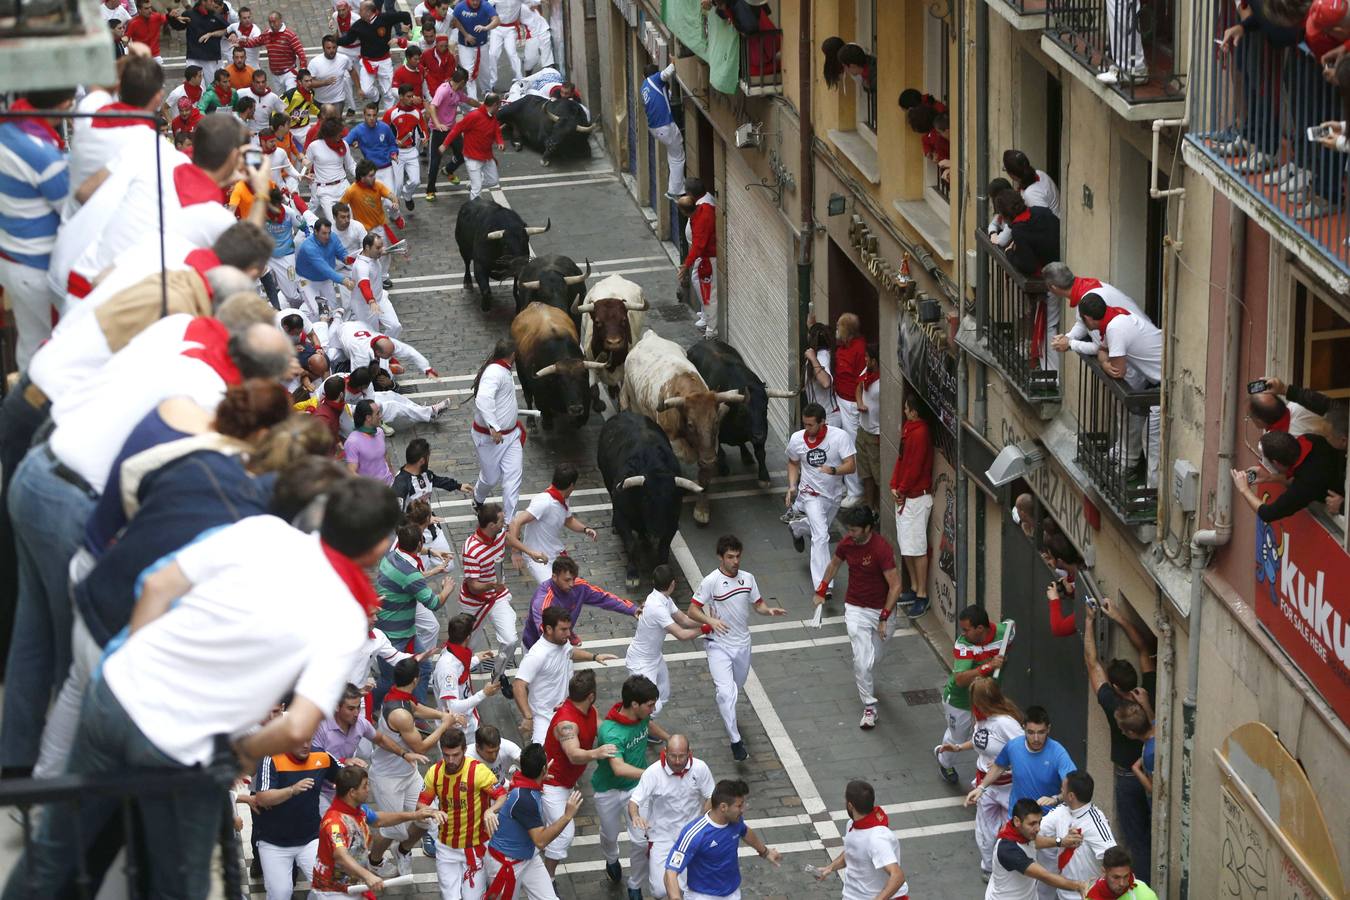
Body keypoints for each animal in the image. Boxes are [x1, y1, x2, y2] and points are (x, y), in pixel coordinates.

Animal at [602, 412, 707, 588]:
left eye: (671, 500)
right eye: (646, 498)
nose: (656, 534)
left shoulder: (672, 523)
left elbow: (664, 548)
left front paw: (662, 571)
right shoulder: (622, 515)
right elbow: (630, 544)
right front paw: (632, 576)